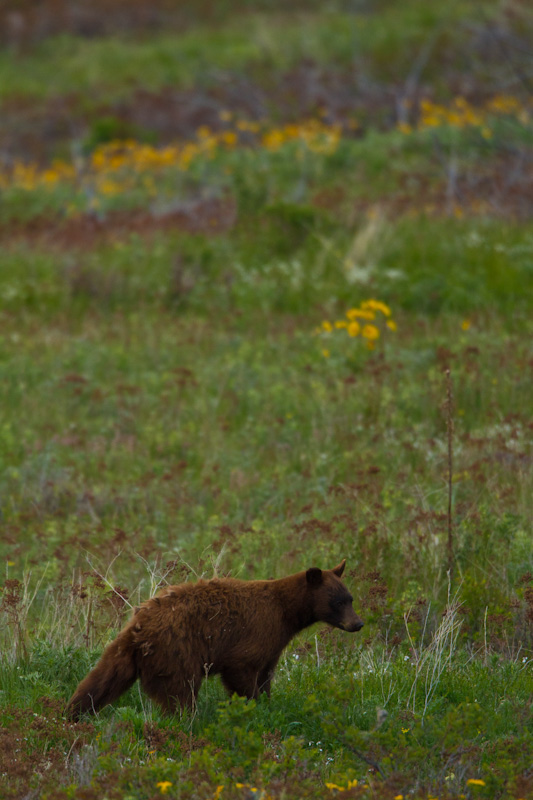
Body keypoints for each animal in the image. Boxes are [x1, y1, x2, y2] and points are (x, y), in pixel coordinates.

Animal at [66, 556, 362, 720]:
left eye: (350, 598)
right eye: (338, 602)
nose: (357, 623)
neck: (286, 612)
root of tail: (139, 626)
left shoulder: (273, 645)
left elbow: (266, 675)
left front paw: (268, 703)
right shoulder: (257, 632)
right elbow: (242, 670)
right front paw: (252, 708)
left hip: (122, 652)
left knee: (100, 680)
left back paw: (74, 712)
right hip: (177, 651)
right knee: (181, 692)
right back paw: (187, 720)